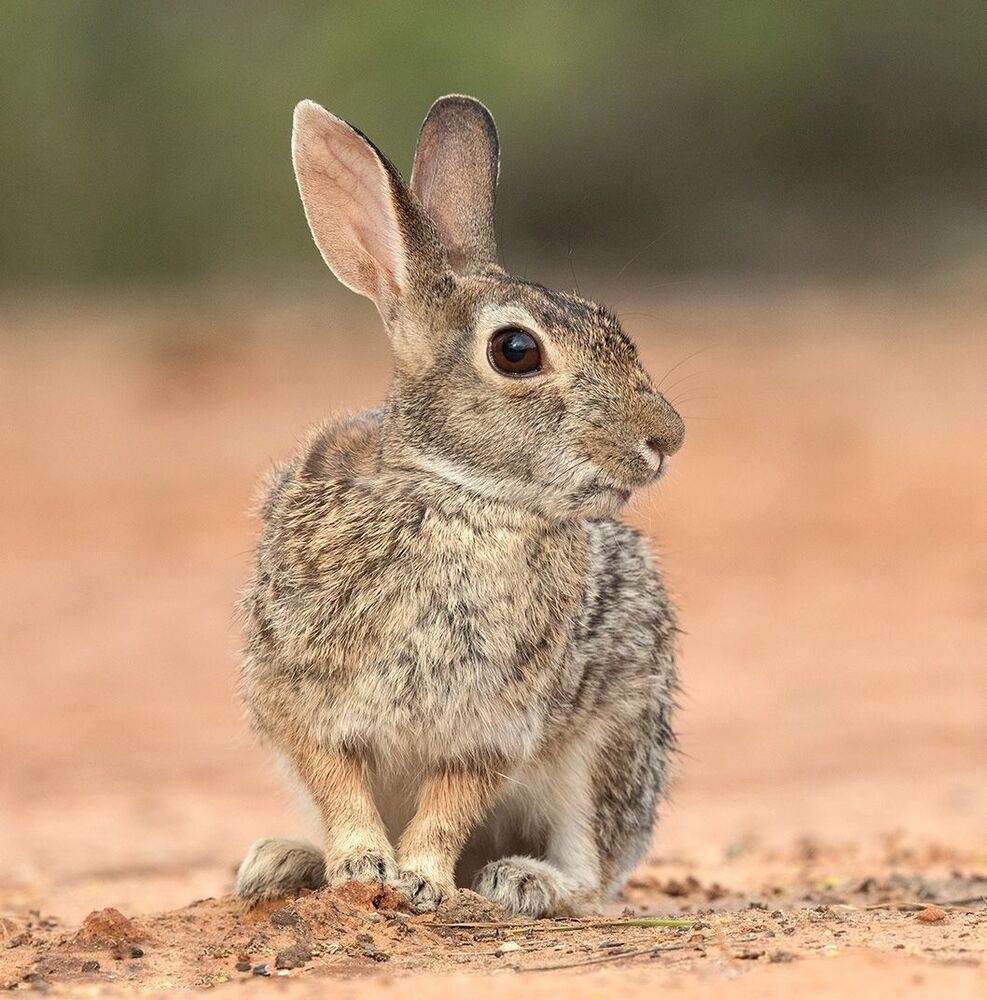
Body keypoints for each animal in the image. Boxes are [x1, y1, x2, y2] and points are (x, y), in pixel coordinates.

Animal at [234, 94, 685, 918]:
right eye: (515, 351)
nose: (666, 437)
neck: (459, 496)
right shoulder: (300, 697)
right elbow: (337, 783)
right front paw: (360, 867)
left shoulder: (495, 724)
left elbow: (451, 801)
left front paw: (419, 881)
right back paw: (285, 862)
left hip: (611, 743)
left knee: (595, 871)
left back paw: (525, 881)